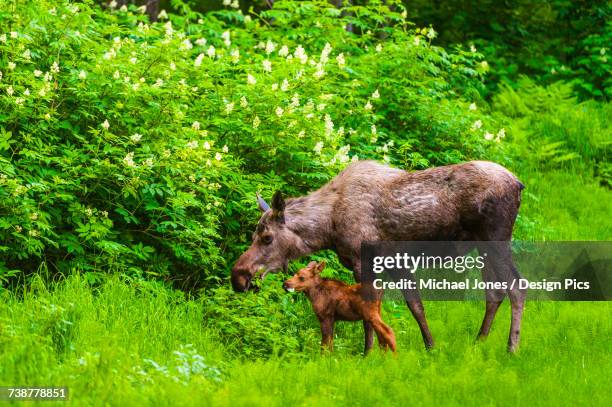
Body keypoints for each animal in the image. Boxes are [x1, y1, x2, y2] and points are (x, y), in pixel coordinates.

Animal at [231, 161, 524, 352]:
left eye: (267, 237)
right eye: (254, 234)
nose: (239, 276)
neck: (328, 227)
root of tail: (519, 183)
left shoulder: (363, 261)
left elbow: (370, 312)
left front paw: (369, 353)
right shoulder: (393, 262)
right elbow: (415, 305)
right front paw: (430, 346)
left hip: (496, 239)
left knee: (517, 286)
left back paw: (511, 348)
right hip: (482, 246)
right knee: (494, 292)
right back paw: (479, 341)